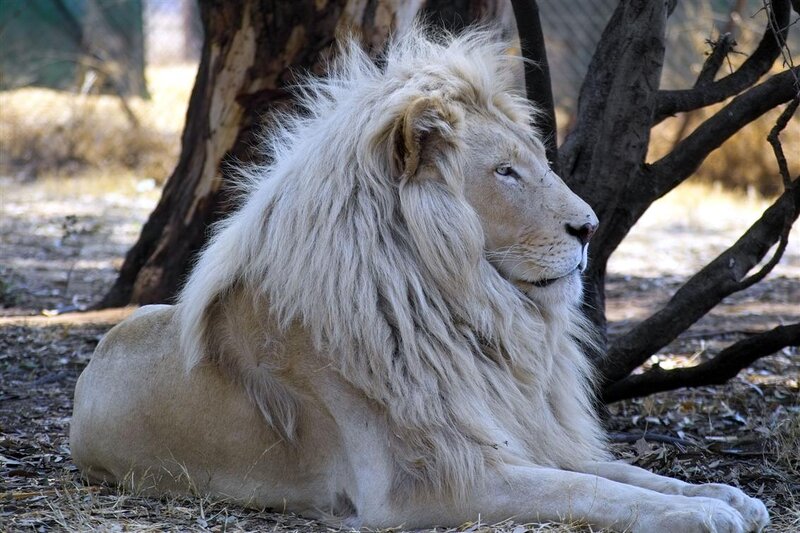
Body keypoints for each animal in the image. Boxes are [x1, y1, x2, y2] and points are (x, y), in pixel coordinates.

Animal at [70, 27, 768, 532]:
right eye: (505, 172)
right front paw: (702, 512)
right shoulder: (424, 482)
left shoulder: (523, 435)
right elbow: (587, 489)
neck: (469, 316)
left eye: (537, 164)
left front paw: (726, 494)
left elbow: (621, 473)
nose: (590, 227)